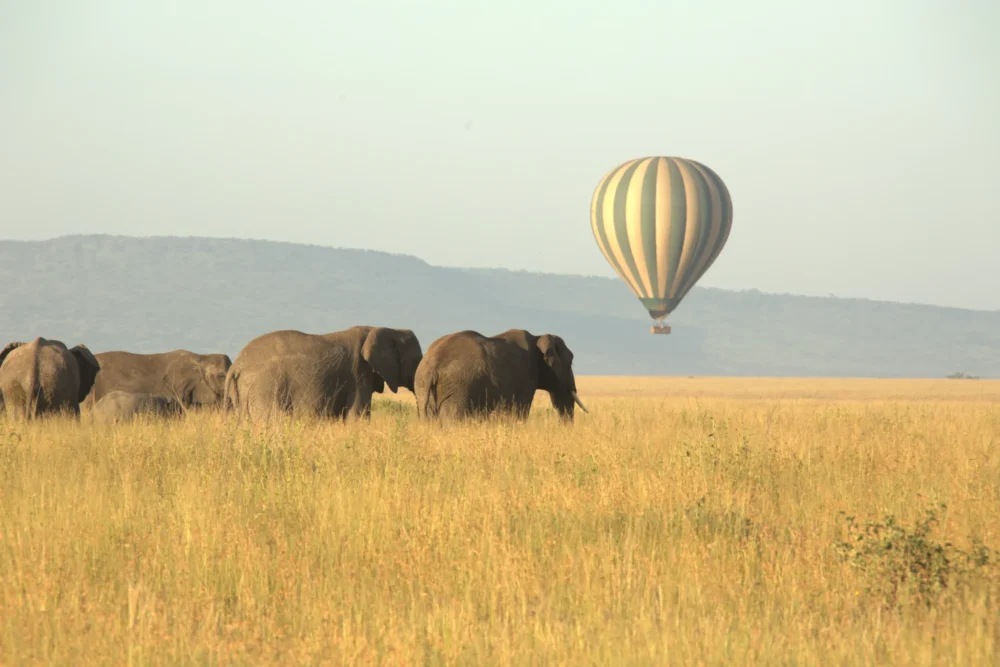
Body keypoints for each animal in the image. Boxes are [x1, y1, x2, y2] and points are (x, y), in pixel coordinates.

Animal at [413, 328, 588, 421]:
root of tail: (431, 367)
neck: (537, 338)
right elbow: (519, 411)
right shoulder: (525, 376)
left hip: (423, 390)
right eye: (570, 361)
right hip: (458, 388)